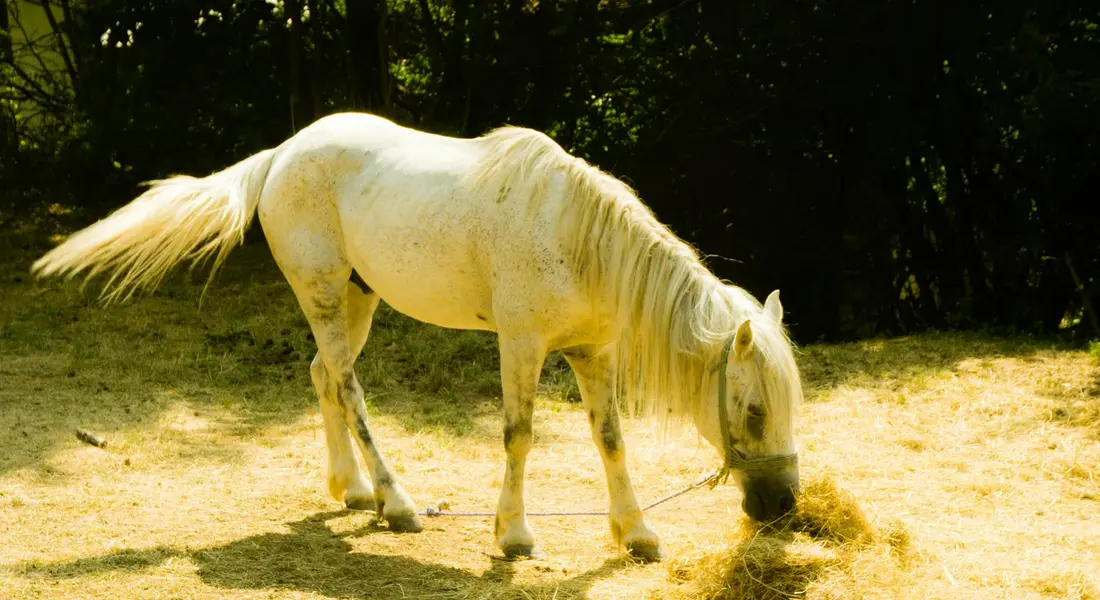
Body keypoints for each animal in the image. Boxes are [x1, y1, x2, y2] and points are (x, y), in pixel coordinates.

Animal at [32, 112, 803, 562]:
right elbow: (519, 436)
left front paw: (637, 534)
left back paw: (354, 491)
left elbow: (610, 439)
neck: (576, 237)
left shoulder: (594, 351)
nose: (784, 511)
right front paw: (514, 536)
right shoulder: (522, 346)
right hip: (321, 295)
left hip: (356, 299)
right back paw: (397, 503)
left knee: (322, 376)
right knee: (348, 388)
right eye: (753, 410)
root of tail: (281, 154)